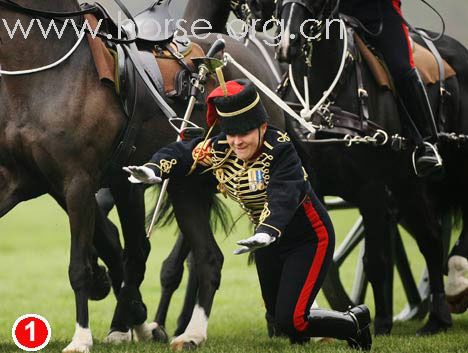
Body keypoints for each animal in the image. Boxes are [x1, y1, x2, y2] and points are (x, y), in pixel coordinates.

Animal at [0, 0, 282, 350]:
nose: (265, 16)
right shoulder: (24, 179)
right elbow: (116, 245)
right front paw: (131, 316)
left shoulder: (78, 180)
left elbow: (83, 264)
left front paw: (84, 337)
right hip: (186, 188)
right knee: (208, 257)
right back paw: (192, 333)